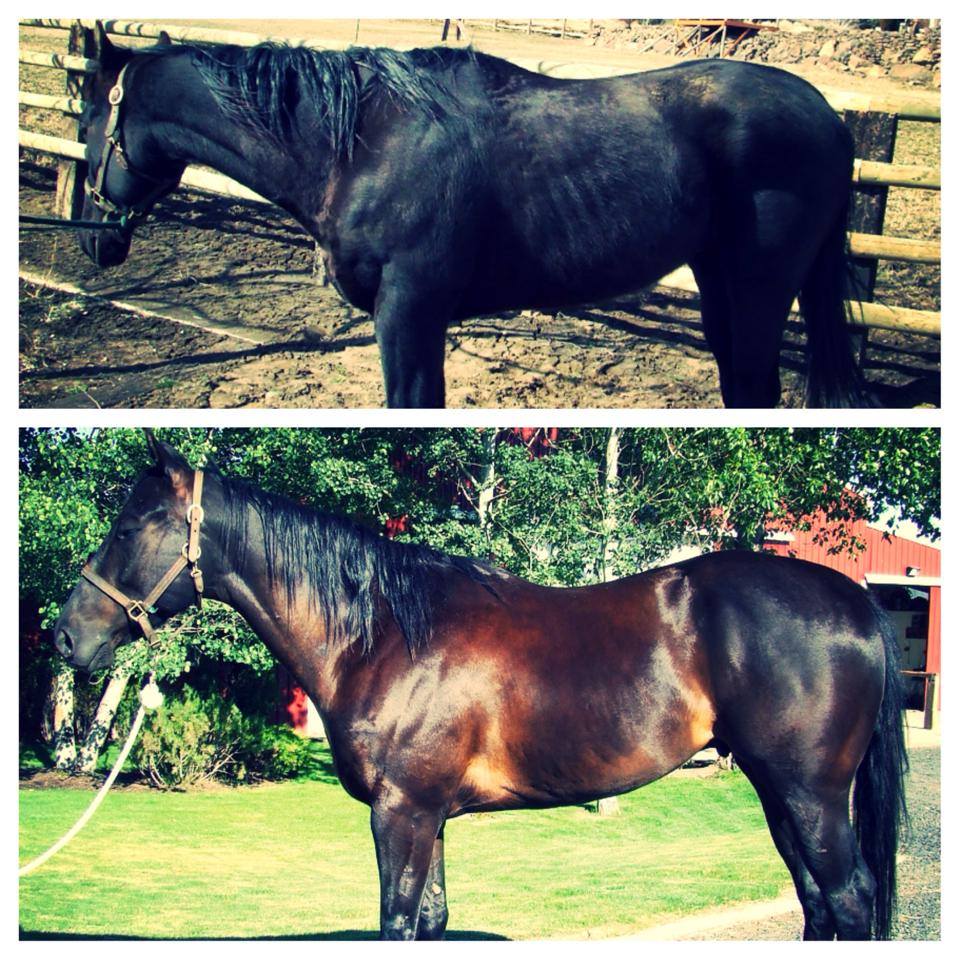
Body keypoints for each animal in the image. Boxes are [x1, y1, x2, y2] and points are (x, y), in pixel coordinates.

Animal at [53, 437, 907, 940]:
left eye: (127, 529)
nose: (65, 637)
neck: (384, 635)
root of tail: (853, 598)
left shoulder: (402, 815)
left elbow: (397, 923)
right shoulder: (429, 818)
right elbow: (432, 921)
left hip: (810, 794)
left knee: (849, 899)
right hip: (778, 791)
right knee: (820, 904)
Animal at [75, 24, 866, 409]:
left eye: (87, 121)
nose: (94, 242)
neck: (362, 145)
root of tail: (828, 114)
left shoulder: (410, 313)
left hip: (761, 291)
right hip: (717, 287)